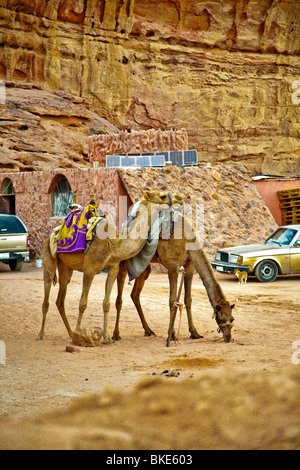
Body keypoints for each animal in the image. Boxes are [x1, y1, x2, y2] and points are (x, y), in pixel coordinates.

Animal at [37, 189, 183, 344]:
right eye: (162, 195)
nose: (179, 198)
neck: (113, 245)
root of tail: (54, 232)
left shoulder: (113, 268)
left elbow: (106, 303)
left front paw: (107, 338)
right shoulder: (89, 269)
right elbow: (83, 303)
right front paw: (79, 334)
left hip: (65, 267)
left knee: (60, 299)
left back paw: (70, 334)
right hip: (48, 255)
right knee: (46, 293)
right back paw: (42, 335)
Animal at [112, 213, 234, 346]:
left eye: (232, 319)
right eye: (221, 318)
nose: (228, 337)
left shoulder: (189, 265)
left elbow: (188, 299)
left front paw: (194, 333)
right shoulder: (173, 265)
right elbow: (173, 300)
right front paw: (171, 335)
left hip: (145, 265)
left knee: (135, 294)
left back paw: (149, 330)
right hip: (126, 257)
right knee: (121, 285)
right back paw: (116, 335)